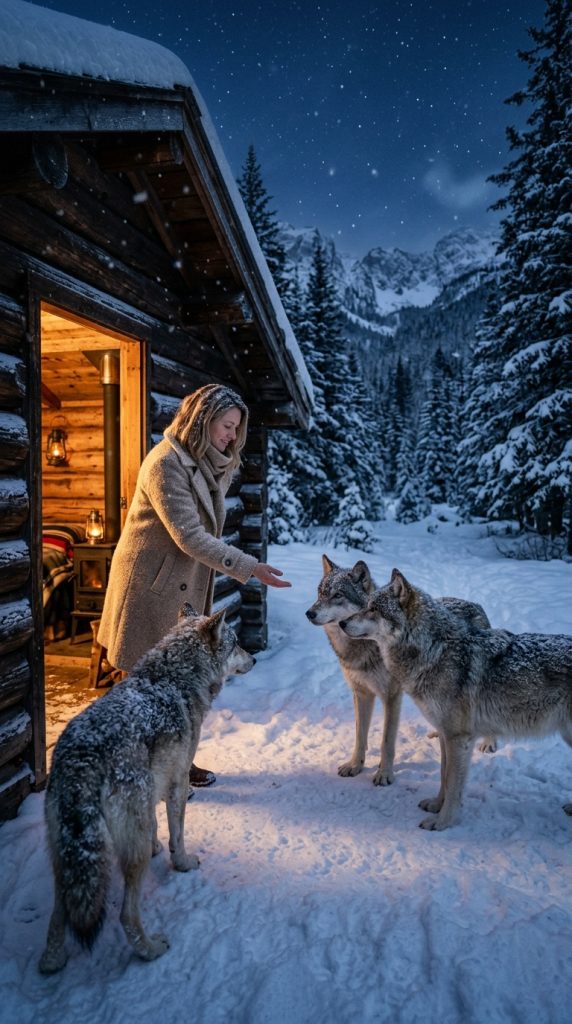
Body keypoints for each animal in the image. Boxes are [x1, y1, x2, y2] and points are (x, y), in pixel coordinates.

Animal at [39, 605, 254, 974]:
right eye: (237, 642)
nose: (254, 658)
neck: (172, 679)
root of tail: (82, 760)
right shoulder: (178, 783)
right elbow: (177, 835)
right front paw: (182, 863)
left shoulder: (155, 784)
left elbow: (156, 824)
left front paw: (158, 847)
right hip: (130, 854)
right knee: (126, 915)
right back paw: (151, 949)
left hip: (66, 856)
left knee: (58, 915)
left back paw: (52, 962)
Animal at [306, 555, 492, 786]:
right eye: (320, 593)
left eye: (338, 595)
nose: (309, 613)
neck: (363, 648)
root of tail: (475, 604)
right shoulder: (361, 693)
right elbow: (360, 736)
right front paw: (355, 765)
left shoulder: (391, 696)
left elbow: (386, 741)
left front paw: (384, 774)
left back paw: (489, 743)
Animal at [340, 568, 572, 830]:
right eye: (365, 605)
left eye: (373, 609)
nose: (341, 623)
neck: (435, 650)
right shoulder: (444, 735)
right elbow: (443, 776)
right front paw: (435, 805)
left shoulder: (459, 738)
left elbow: (452, 784)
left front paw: (442, 822)